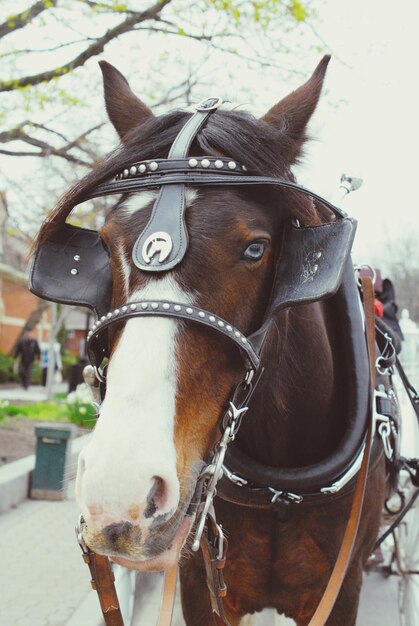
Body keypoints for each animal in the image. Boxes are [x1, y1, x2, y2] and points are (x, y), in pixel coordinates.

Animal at [30, 56, 390, 620]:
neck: (278, 488)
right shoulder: (200, 585)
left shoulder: (341, 590)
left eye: (256, 248)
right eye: (104, 243)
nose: (119, 491)